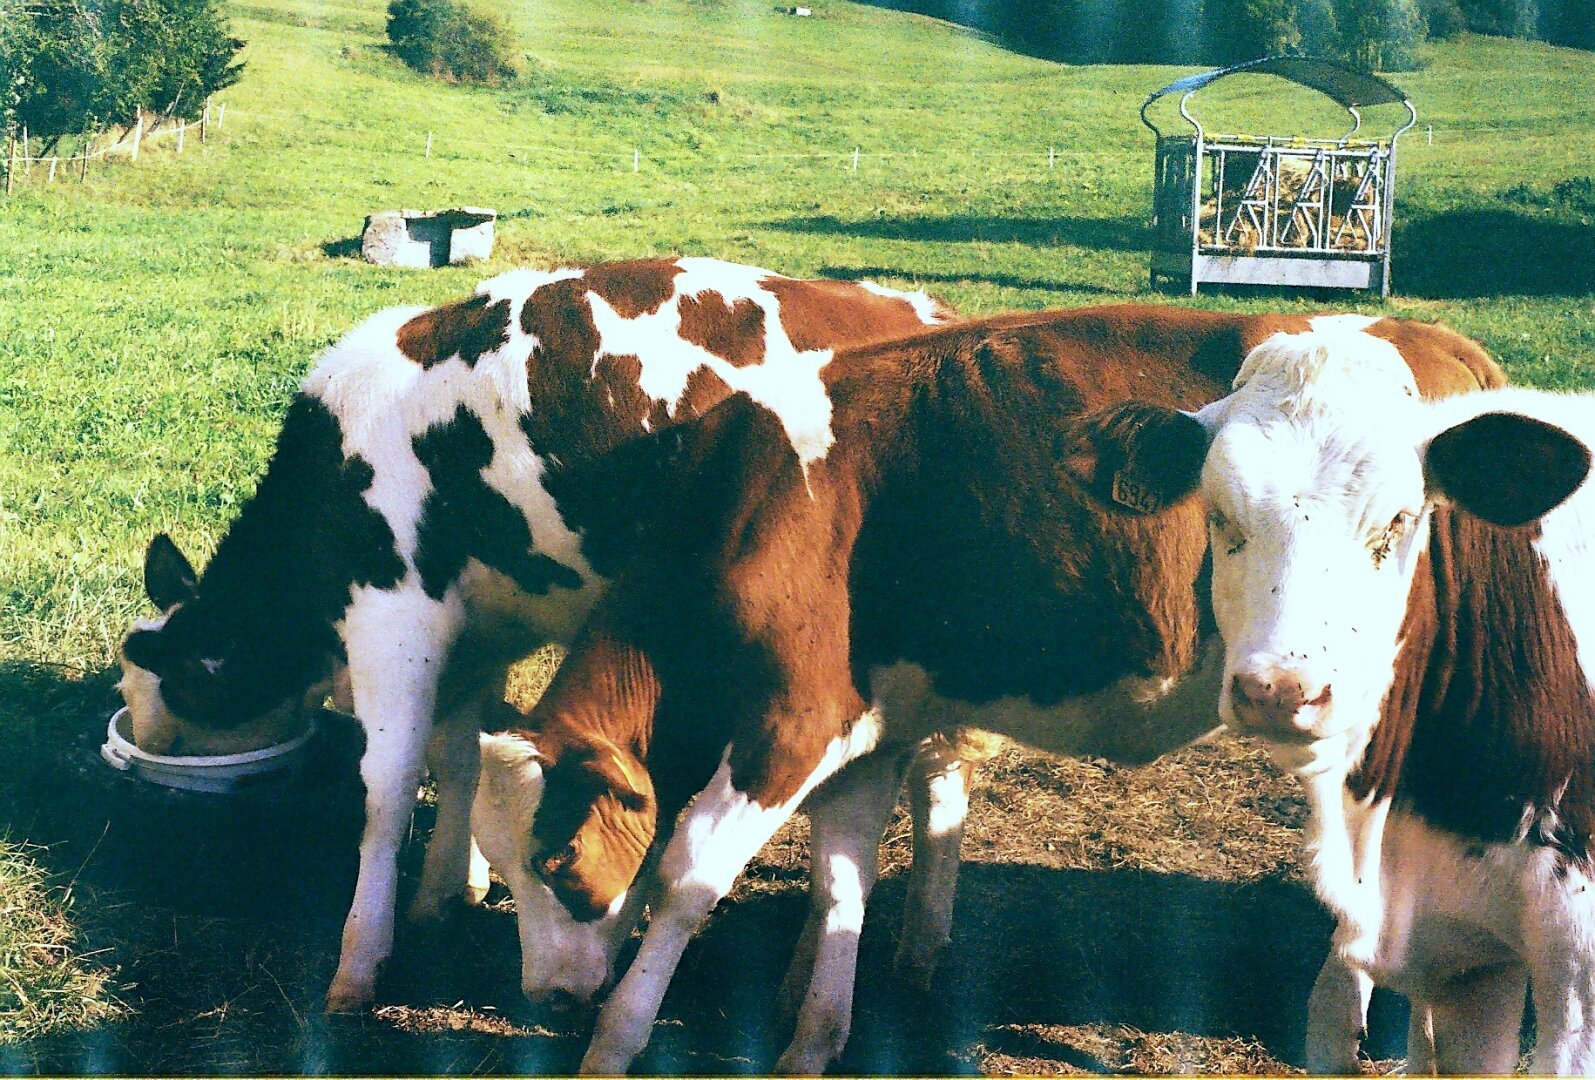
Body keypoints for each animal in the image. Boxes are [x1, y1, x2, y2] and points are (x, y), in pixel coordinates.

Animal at [114, 257, 959, 1014]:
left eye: (176, 718)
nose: (152, 783)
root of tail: (925, 311)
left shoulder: (394, 615)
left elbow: (387, 788)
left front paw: (361, 961)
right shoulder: (476, 632)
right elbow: (457, 759)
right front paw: (451, 888)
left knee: (928, 783)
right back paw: (898, 954)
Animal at [463, 306, 1502, 1073]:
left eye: (555, 860)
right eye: (502, 865)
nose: (544, 995)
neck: (746, 506)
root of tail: (1444, 345)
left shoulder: (789, 726)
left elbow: (686, 881)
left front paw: (613, 1044)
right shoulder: (865, 736)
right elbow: (841, 883)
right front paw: (813, 1042)